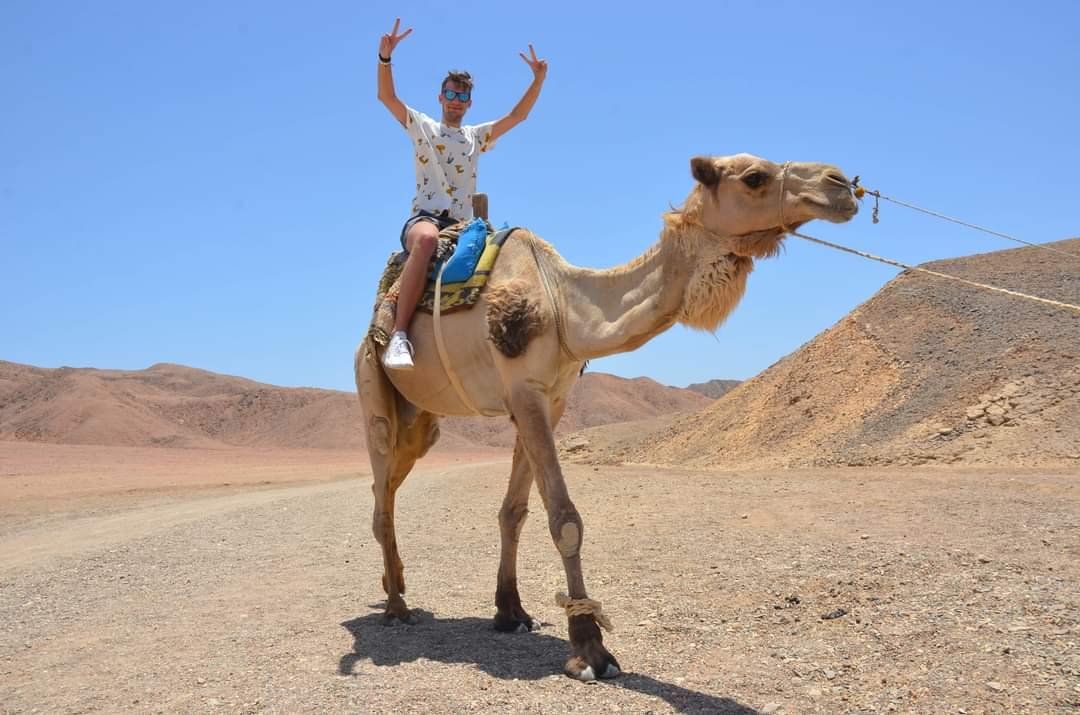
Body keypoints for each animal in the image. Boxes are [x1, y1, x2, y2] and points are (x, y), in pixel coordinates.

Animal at [354, 153, 858, 681]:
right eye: (754, 177)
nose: (842, 184)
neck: (562, 303)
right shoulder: (523, 389)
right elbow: (565, 519)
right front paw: (590, 648)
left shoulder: (548, 399)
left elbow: (515, 512)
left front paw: (510, 612)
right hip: (373, 386)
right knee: (382, 490)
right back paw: (396, 608)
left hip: (423, 421)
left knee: (387, 487)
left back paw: (397, 585)